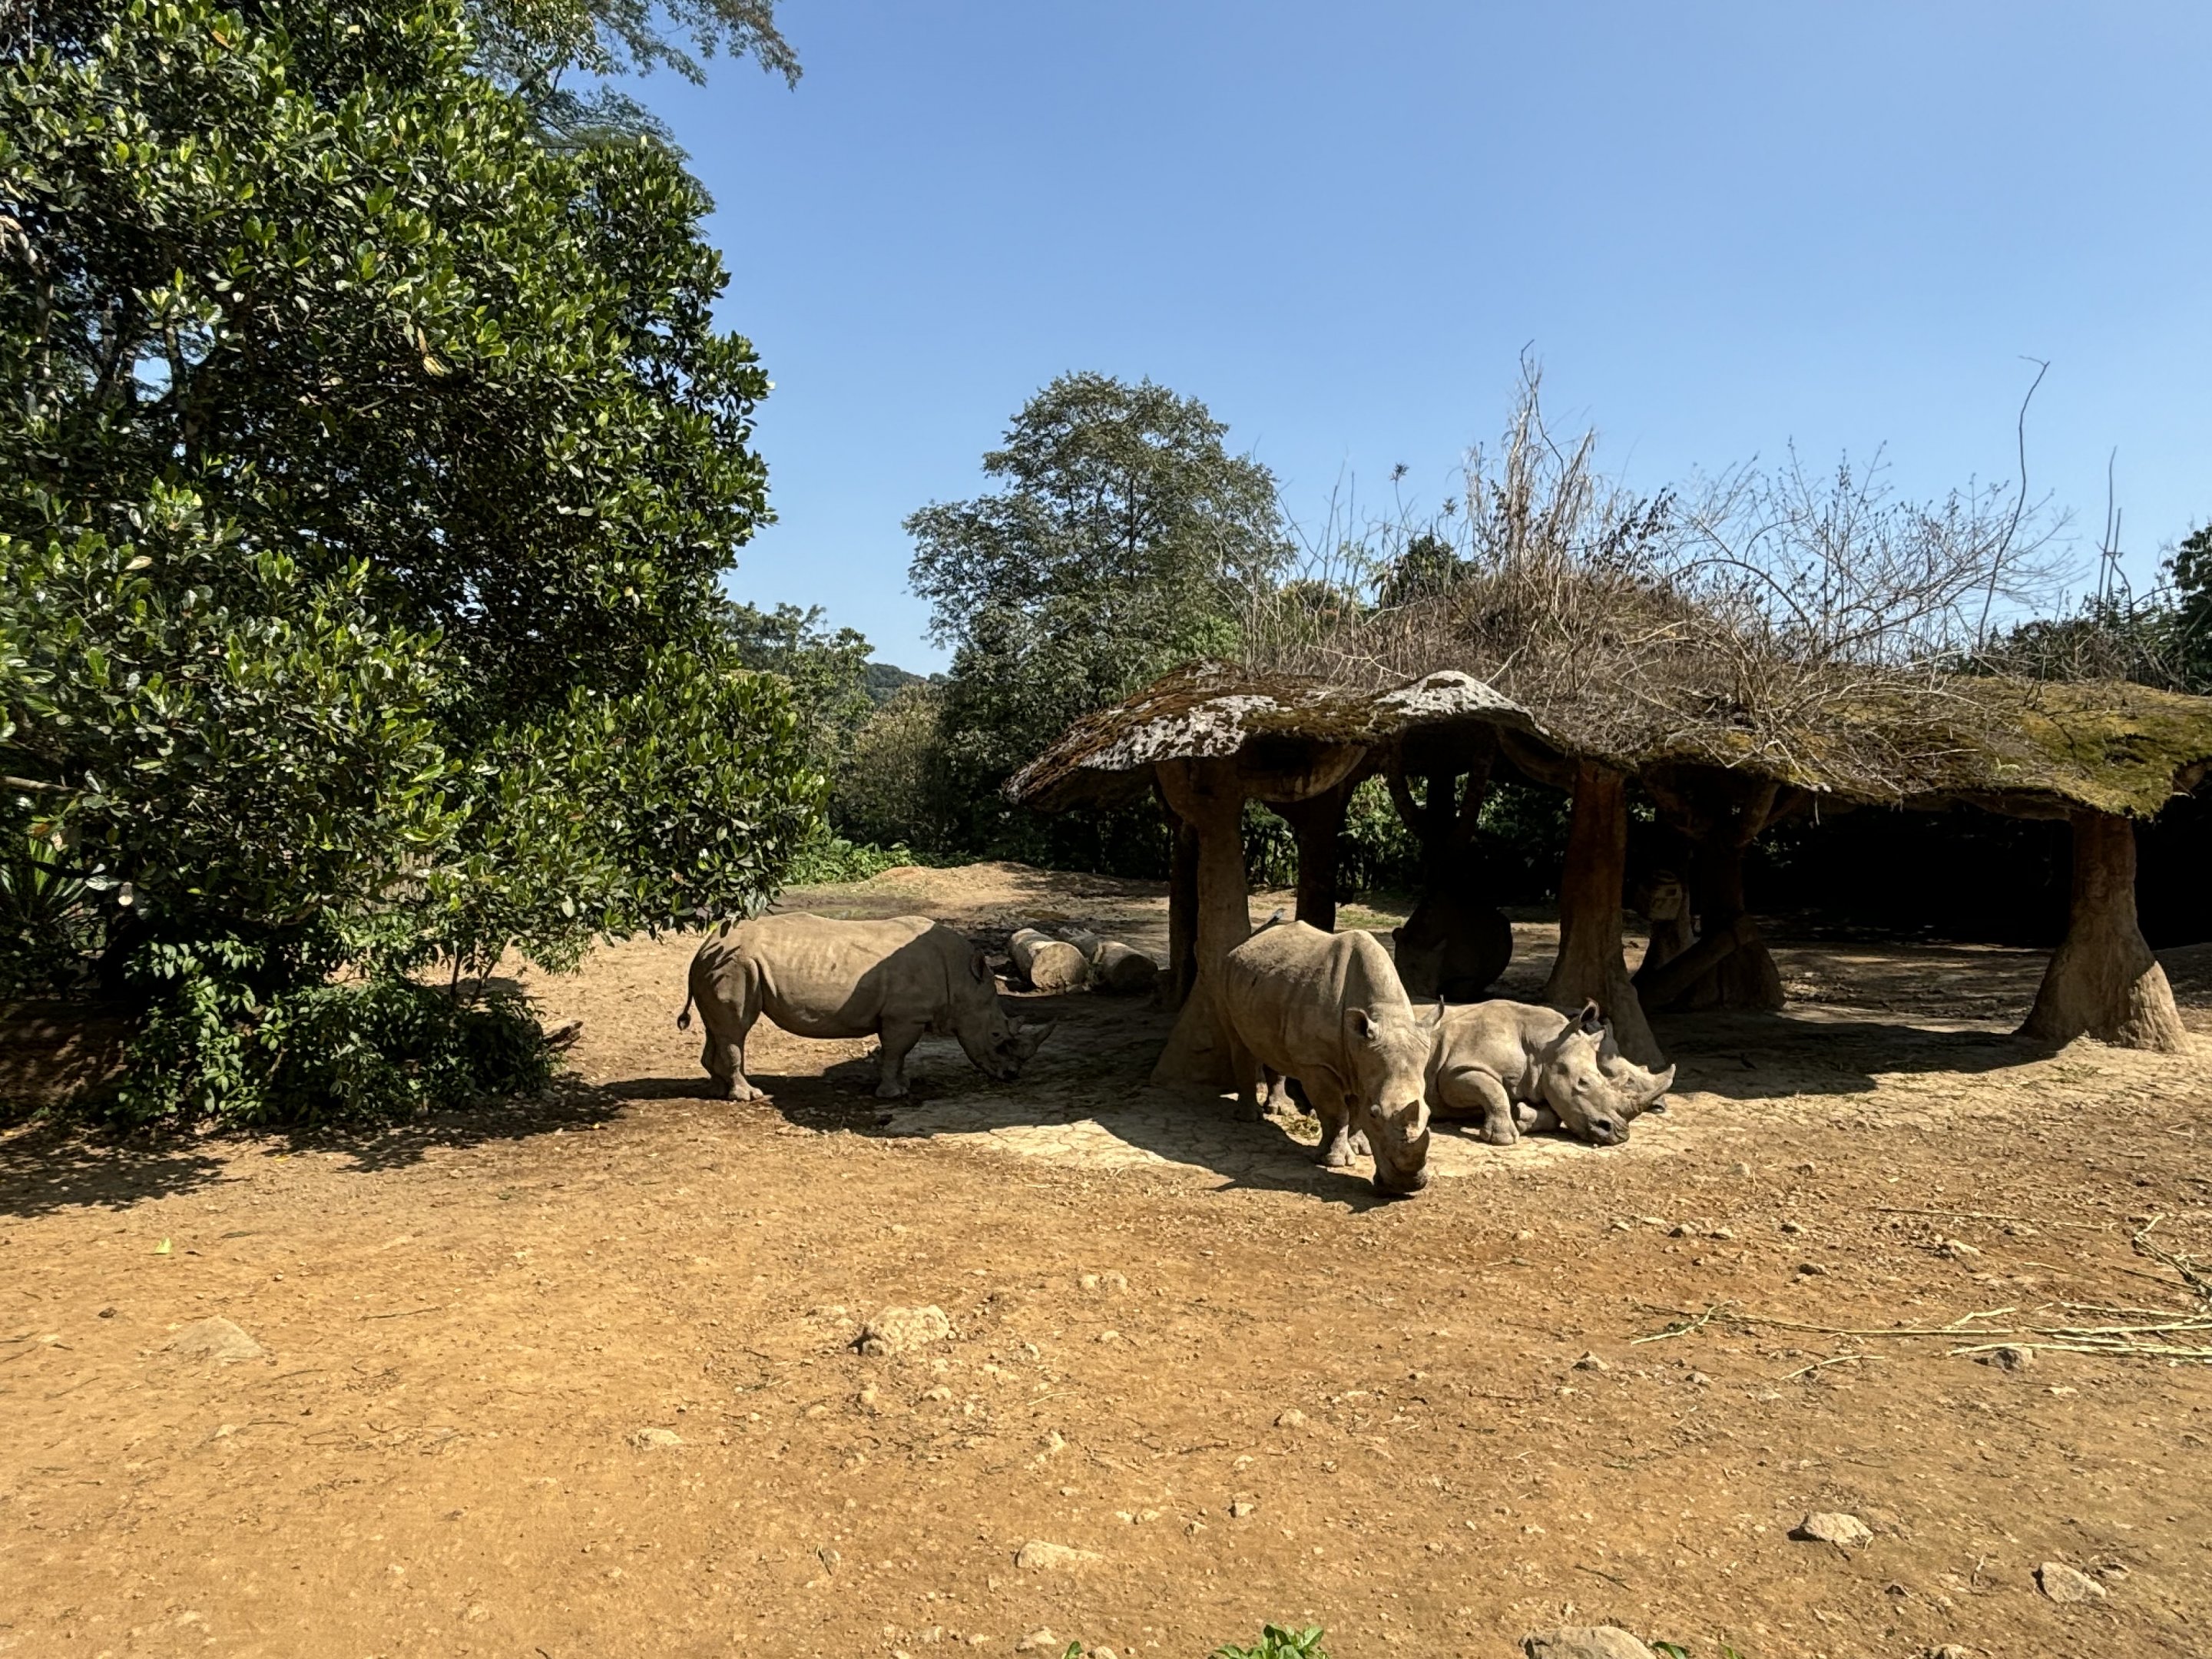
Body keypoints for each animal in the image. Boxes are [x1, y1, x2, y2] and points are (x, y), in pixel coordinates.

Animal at [678, 914, 1049, 1100]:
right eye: (997, 1034)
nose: (1011, 1076)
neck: (962, 982)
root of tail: (704, 946)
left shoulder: (903, 1015)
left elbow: (898, 1055)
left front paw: (904, 1086)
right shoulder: (905, 1016)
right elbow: (896, 1052)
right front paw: (892, 1095)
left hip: (723, 966)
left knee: (719, 1028)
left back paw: (719, 1090)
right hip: (735, 966)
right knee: (736, 1029)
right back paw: (749, 1095)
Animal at [1220, 920, 1444, 1196]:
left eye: (1429, 1113)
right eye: (1376, 1114)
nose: (1406, 1186)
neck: (1384, 1015)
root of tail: (1249, 940)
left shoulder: (1364, 1061)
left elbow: (1355, 1112)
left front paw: (1361, 1148)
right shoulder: (1316, 1064)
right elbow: (1336, 1112)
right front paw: (1335, 1160)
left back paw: (1280, 1110)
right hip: (1226, 972)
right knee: (1239, 1044)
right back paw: (1250, 1117)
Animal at [1426, 999, 1675, 1147]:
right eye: (1583, 1082)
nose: (1620, 1135)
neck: (1543, 1046)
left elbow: (1555, 1115)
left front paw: (1522, 1117)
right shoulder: (1457, 1070)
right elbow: (1493, 1090)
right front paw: (1503, 1138)